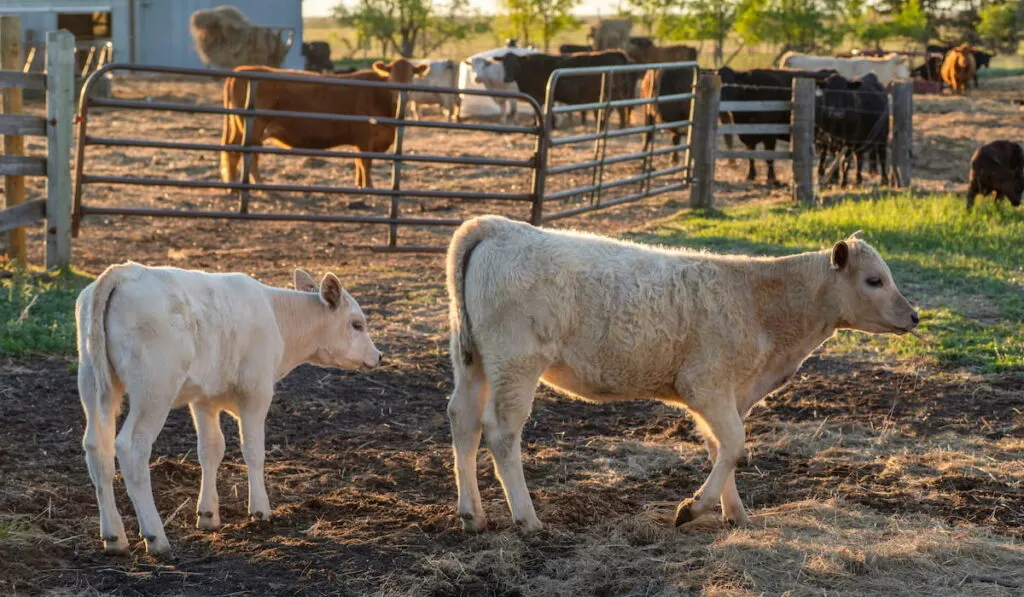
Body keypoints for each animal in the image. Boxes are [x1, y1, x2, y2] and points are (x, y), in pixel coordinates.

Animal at [75, 262, 380, 557]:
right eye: (357, 324)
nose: (378, 356)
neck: (278, 316)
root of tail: (123, 271)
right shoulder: (256, 392)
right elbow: (253, 450)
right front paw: (260, 509)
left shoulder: (204, 399)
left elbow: (210, 449)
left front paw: (208, 514)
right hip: (155, 388)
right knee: (131, 448)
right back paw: (156, 537)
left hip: (91, 382)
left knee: (96, 448)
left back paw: (114, 538)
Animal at [222, 57, 430, 189]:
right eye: (391, 77)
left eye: (411, 76)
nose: (401, 95)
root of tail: (243, 69)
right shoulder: (365, 137)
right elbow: (365, 163)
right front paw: (369, 187)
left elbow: (358, 162)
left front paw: (359, 185)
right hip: (254, 127)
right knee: (249, 154)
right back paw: (259, 185)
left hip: (240, 127)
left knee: (232, 150)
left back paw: (232, 185)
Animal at [444, 217, 917, 536]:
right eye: (874, 280)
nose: (914, 316)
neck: (759, 300)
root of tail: (498, 227)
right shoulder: (706, 385)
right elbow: (734, 443)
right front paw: (695, 507)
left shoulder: (727, 393)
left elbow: (721, 447)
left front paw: (735, 513)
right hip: (517, 364)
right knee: (501, 431)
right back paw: (527, 518)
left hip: (472, 362)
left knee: (462, 420)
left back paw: (472, 515)